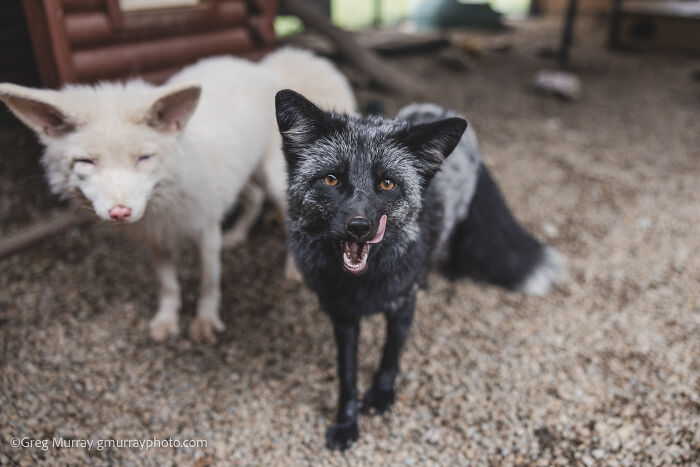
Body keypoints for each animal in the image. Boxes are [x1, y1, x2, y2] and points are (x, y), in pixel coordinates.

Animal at [0, 48, 355, 342]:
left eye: (144, 158)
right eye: (86, 162)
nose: (120, 212)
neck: (168, 200)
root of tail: (260, 67)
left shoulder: (206, 231)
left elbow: (208, 284)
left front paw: (205, 322)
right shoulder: (159, 238)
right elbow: (168, 285)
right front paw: (167, 321)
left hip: (273, 180)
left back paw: (294, 269)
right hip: (242, 178)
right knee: (254, 199)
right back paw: (237, 236)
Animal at [275, 90, 566, 450]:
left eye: (387, 184)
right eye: (331, 179)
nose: (359, 226)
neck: (363, 286)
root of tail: (440, 109)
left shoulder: (402, 304)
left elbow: (390, 356)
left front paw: (382, 396)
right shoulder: (342, 315)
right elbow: (347, 375)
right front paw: (346, 423)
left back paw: (451, 272)